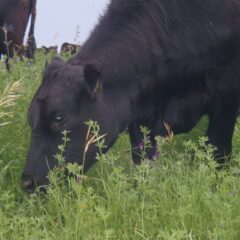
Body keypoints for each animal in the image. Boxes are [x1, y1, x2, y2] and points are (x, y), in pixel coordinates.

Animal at [22, 0, 240, 192]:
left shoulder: (227, 95)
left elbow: (218, 152)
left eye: (59, 117)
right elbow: (143, 161)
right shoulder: (138, 112)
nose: (27, 182)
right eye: (30, 117)